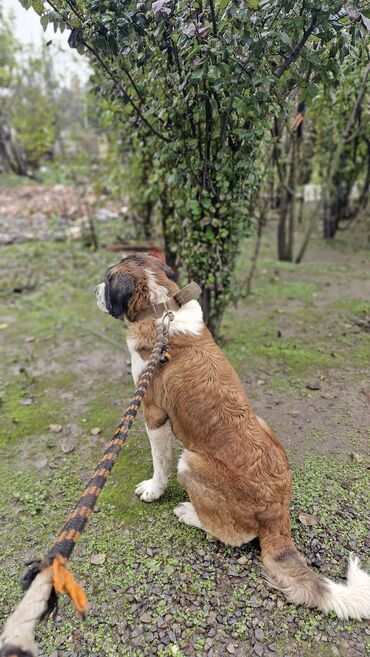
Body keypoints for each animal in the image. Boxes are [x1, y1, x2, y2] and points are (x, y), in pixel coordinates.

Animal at [96, 254, 370, 616]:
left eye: (107, 280)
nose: (94, 289)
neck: (160, 309)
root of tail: (277, 511)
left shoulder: (153, 413)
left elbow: (160, 462)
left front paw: (154, 490)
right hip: (262, 424)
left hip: (192, 462)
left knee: (231, 535)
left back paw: (189, 513)